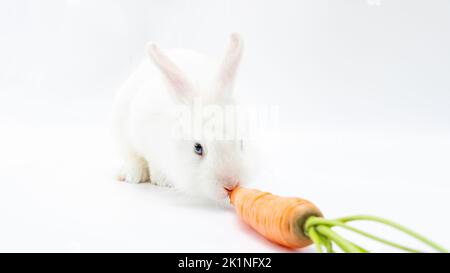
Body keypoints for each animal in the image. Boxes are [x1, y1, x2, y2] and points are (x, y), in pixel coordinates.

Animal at [111, 33, 246, 201]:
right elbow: (152, 163)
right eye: (197, 148)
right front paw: (162, 180)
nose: (230, 184)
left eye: (241, 142)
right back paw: (133, 175)